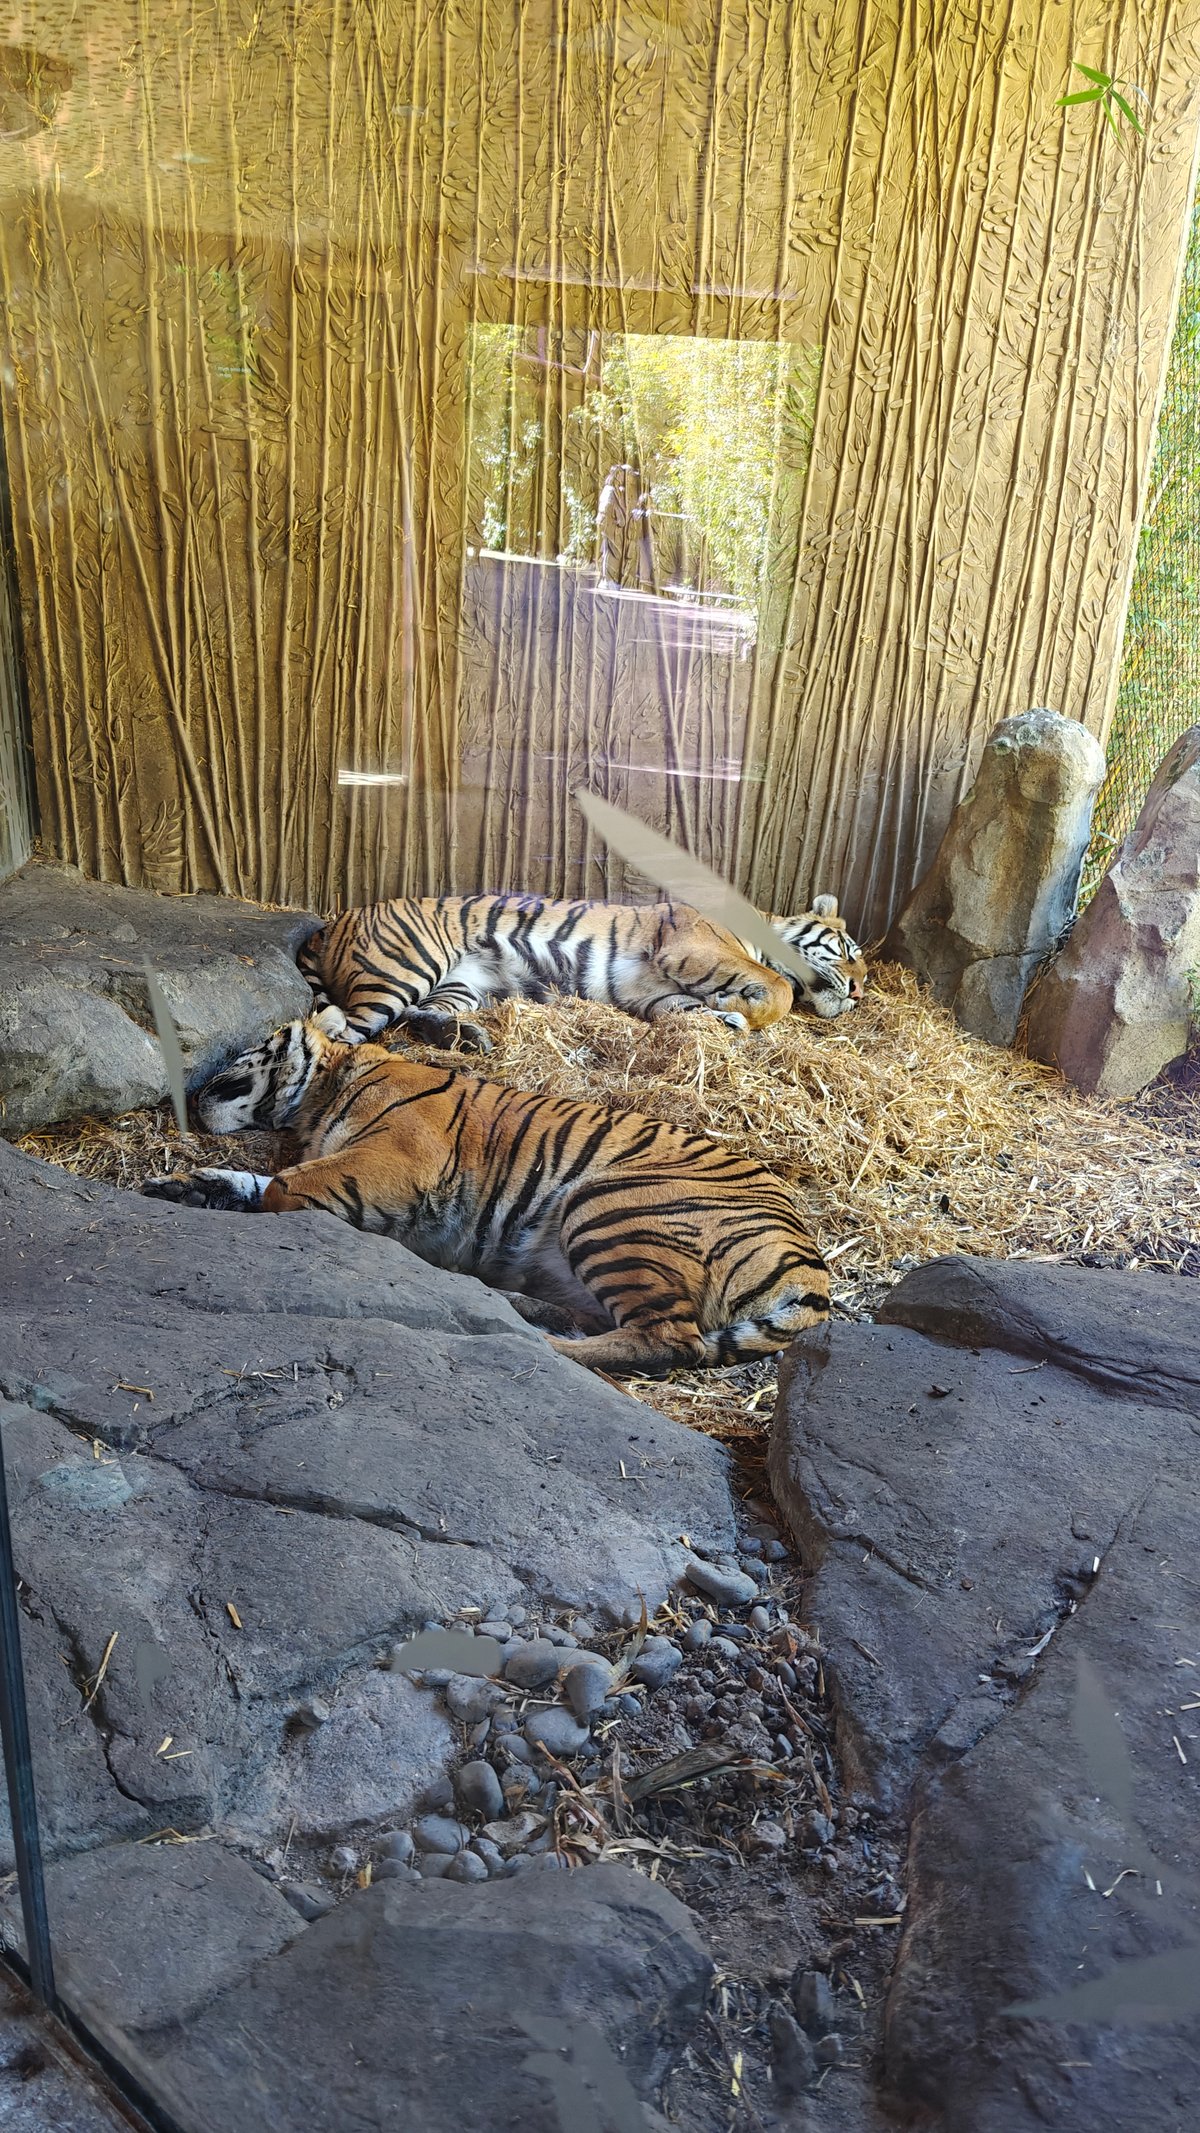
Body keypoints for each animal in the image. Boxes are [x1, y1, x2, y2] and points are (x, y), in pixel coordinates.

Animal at [141, 1007, 831, 1378]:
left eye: (248, 1049)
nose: (194, 1092)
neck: (320, 1098)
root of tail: (812, 1262)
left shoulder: (394, 1157)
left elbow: (285, 1187)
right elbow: (255, 1183)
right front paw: (184, 1187)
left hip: (610, 1205)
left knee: (671, 1338)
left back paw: (541, 1344)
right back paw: (518, 1306)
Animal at [295, 892, 866, 1053]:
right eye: (848, 949)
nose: (860, 992)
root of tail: (337, 919)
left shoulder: (654, 993)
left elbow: (690, 1011)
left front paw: (727, 1017)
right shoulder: (695, 948)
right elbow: (779, 990)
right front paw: (744, 1009)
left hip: (460, 984)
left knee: (417, 1016)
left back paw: (471, 1038)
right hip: (402, 970)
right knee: (342, 1031)